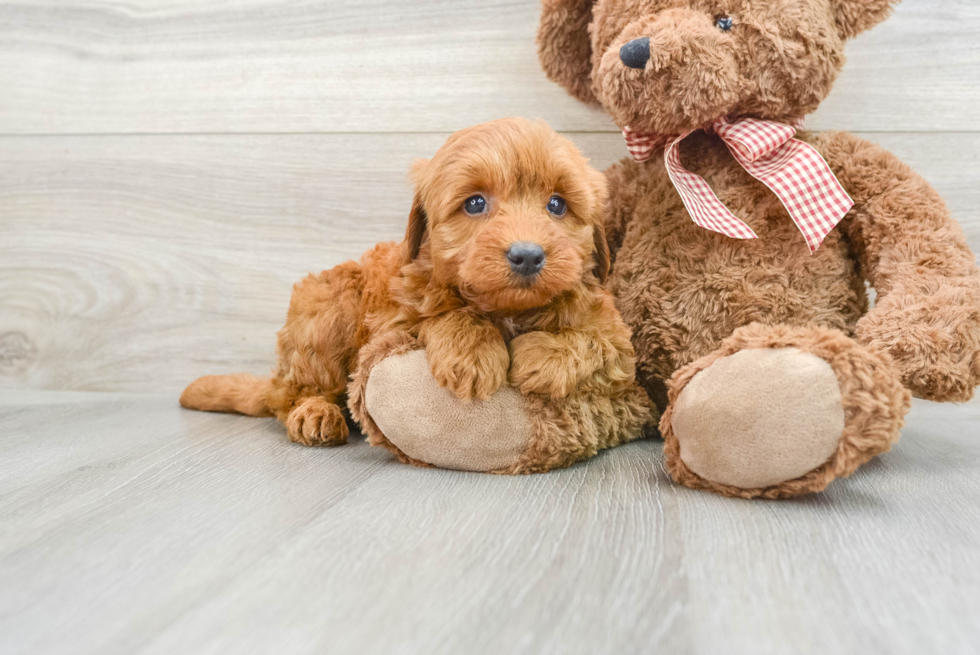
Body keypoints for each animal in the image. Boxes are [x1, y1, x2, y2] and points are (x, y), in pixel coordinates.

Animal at [180, 118, 640, 452]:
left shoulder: (617, 339)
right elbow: (444, 312)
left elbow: (597, 342)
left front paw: (542, 355)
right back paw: (314, 413)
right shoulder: (396, 318)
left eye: (557, 205)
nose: (527, 255)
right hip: (329, 309)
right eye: (475, 203)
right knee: (290, 394)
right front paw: (472, 354)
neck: (507, 309)